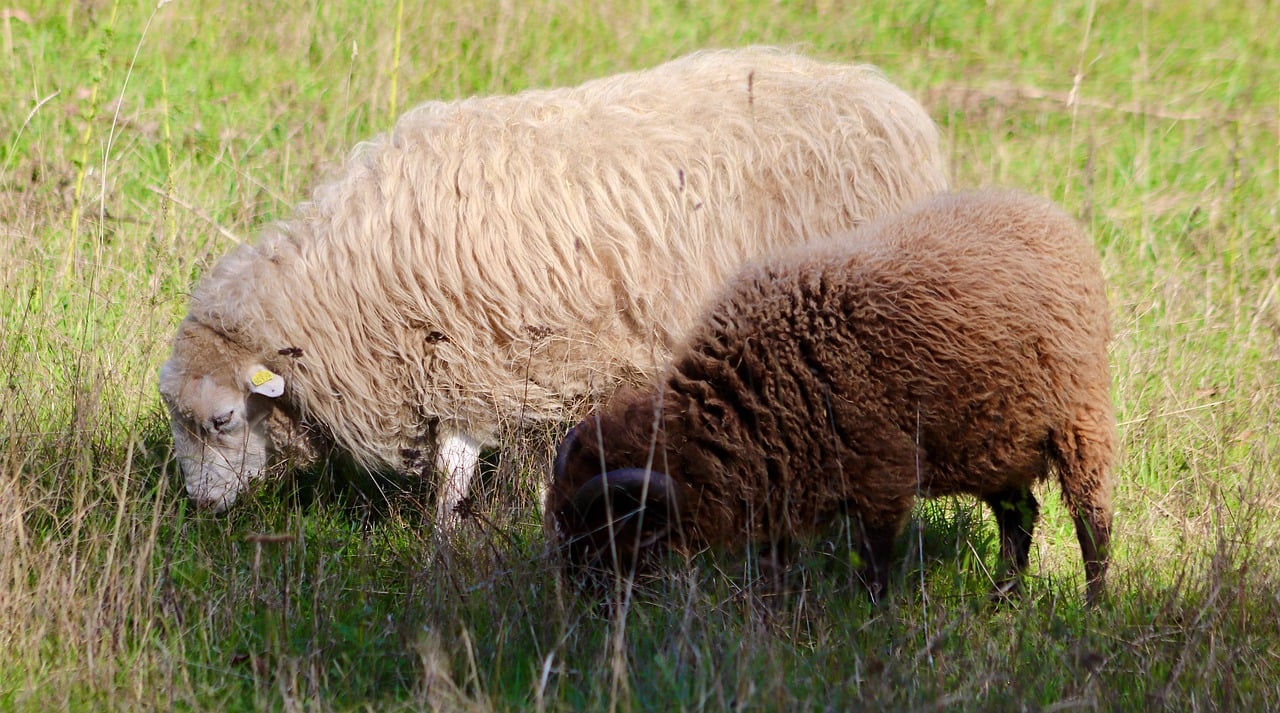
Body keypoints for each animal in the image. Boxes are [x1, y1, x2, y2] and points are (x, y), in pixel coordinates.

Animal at [154, 47, 952, 519]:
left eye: (222, 419)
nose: (201, 506)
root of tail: (885, 98)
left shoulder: (478, 359)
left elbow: (454, 473)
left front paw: (448, 547)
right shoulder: (465, 360)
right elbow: (464, 467)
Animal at [550, 188, 1121, 601]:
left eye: (601, 533)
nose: (578, 601)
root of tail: (1046, 212)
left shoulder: (884, 478)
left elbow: (874, 567)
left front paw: (873, 623)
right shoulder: (780, 479)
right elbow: (776, 562)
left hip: (1080, 420)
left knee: (1091, 524)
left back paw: (1092, 606)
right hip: (993, 441)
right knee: (1019, 516)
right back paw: (1004, 599)